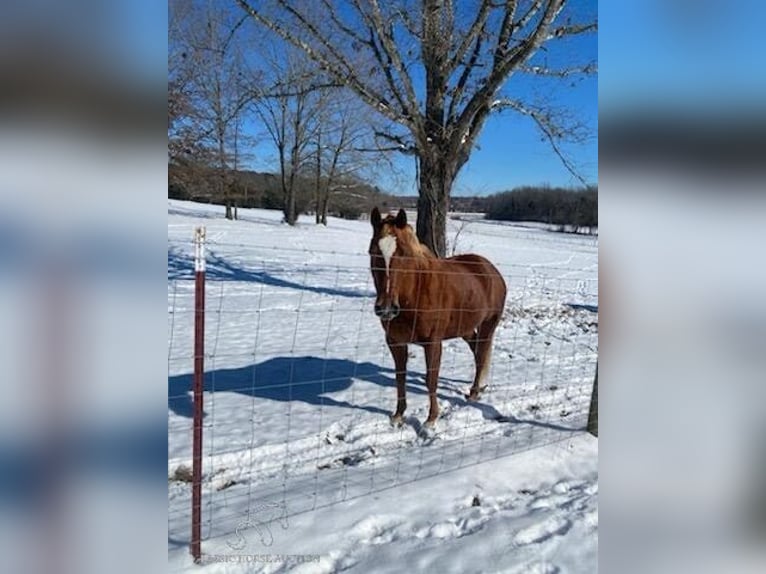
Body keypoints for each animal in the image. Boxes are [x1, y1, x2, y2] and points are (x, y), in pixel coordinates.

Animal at [370, 209, 510, 430]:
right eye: (373, 252)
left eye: (403, 254)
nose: (386, 308)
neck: (415, 293)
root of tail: (492, 271)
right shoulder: (396, 343)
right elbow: (400, 377)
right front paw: (398, 415)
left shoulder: (433, 343)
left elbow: (431, 379)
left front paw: (431, 419)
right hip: (466, 329)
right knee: (477, 352)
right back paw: (477, 388)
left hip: (488, 326)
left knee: (481, 354)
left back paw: (474, 392)